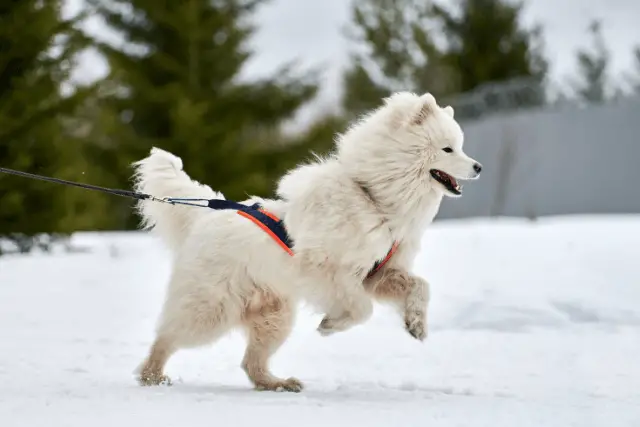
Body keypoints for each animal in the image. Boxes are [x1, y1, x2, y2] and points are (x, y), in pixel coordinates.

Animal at [131, 92, 480, 392]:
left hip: (274, 317)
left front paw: (416, 324)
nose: (478, 167)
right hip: (212, 308)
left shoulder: (378, 273)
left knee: (251, 363)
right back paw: (152, 376)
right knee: (168, 336)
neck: (374, 199)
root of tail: (205, 217)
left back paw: (278, 383)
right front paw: (330, 325)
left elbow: (420, 286)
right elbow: (361, 309)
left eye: (461, 147)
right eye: (448, 149)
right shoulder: (328, 271)